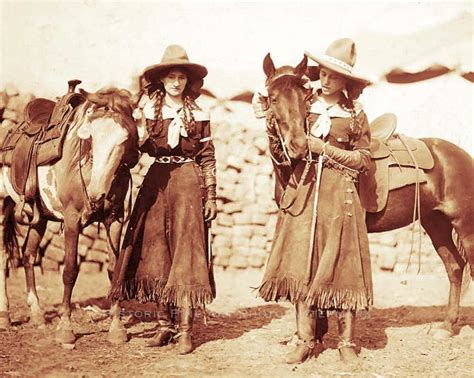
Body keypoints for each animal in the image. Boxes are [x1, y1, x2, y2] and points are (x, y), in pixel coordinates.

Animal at [0, 87, 139, 344]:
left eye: (125, 138)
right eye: (92, 137)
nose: (96, 194)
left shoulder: (115, 219)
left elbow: (113, 270)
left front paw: (116, 328)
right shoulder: (73, 220)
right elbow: (70, 272)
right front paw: (65, 329)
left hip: (39, 217)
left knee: (28, 254)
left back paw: (37, 314)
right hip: (3, 205)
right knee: (4, 255)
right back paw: (5, 315)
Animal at [262, 53, 474, 336]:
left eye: (305, 98)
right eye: (273, 97)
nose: (297, 145)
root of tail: (463, 156)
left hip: (465, 226)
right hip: (435, 223)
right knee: (455, 267)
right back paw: (448, 325)